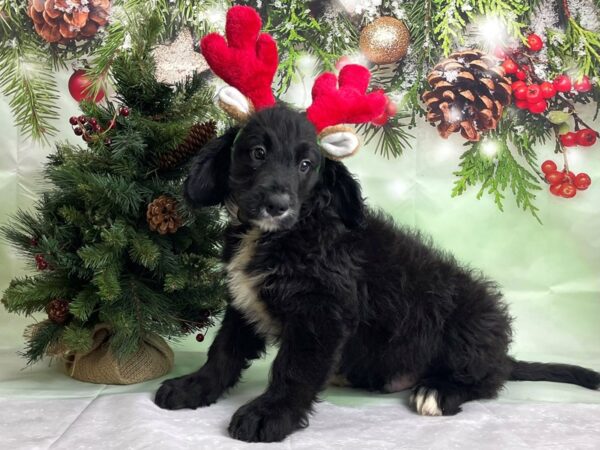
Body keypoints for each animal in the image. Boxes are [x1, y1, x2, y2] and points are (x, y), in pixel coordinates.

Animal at [155, 106, 600, 442]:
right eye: (258, 152)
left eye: (306, 164)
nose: (277, 204)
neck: (280, 234)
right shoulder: (244, 303)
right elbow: (223, 352)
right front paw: (193, 387)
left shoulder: (322, 315)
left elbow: (292, 369)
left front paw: (270, 414)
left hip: (472, 323)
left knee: (489, 378)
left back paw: (438, 390)